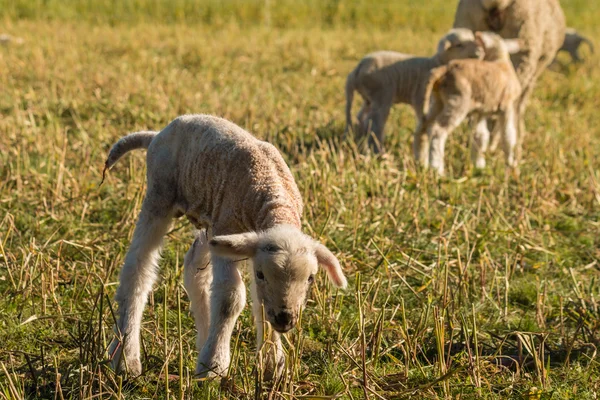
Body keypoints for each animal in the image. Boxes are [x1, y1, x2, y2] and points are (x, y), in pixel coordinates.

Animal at [103, 114, 346, 380]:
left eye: (311, 278)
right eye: (261, 274)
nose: (285, 319)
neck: (274, 201)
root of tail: (157, 134)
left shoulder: (242, 240)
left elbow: (260, 303)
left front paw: (273, 365)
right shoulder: (229, 229)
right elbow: (230, 298)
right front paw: (213, 367)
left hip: (209, 219)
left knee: (193, 267)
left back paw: (203, 338)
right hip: (160, 195)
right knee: (138, 266)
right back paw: (125, 357)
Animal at [344, 28, 486, 155]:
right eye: (459, 45)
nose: (480, 52)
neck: (436, 63)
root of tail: (358, 68)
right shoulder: (421, 96)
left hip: (369, 97)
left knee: (361, 117)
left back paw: (360, 140)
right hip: (381, 95)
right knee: (374, 124)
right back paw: (377, 150)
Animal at [420, 31, 524, 175]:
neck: (500, 60)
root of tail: (445, 69)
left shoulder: (481, 111)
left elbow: (480, 137)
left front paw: (479, 166)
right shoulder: (507, 106)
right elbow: (508, 136)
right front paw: (510, 164)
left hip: (438, 101)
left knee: (423, 126)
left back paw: (421, 162)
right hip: (458, 101)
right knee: (437, 131)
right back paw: (437, 169)